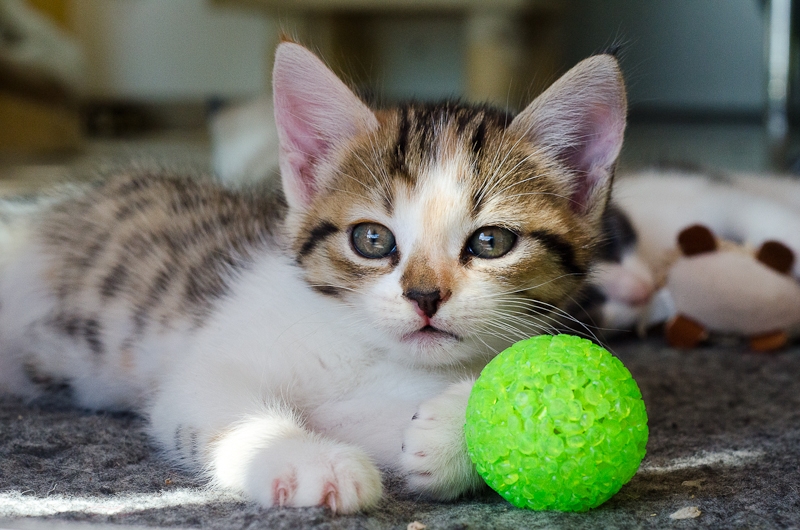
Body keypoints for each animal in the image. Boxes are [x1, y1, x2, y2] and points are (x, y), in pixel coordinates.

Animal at [0, 42, 624, 512]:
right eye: (372, 240)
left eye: (491, 242)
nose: (424, 296)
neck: (363, 350)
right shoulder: (209, 364)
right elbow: (234, 409)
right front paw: (311, 462)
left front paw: (450, 435)